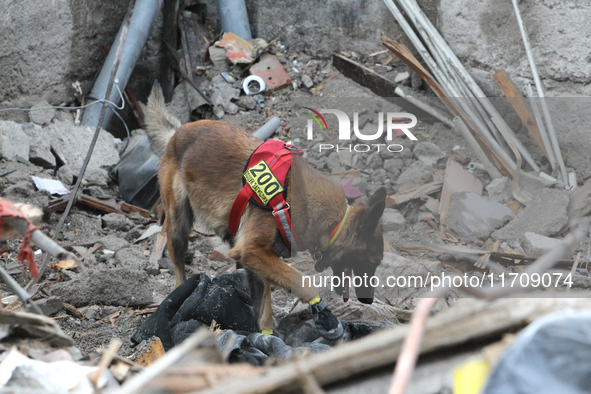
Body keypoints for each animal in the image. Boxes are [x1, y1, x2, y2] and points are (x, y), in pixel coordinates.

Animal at [147, 84, 388, 342]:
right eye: (372, 262)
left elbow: (264, 310)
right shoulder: (252, 250)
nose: (368, 300)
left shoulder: (255, 258)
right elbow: (302, 281)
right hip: (179, 225)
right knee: (178, 265)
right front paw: (324, 314)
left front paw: (267, 339)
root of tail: (177, 131)